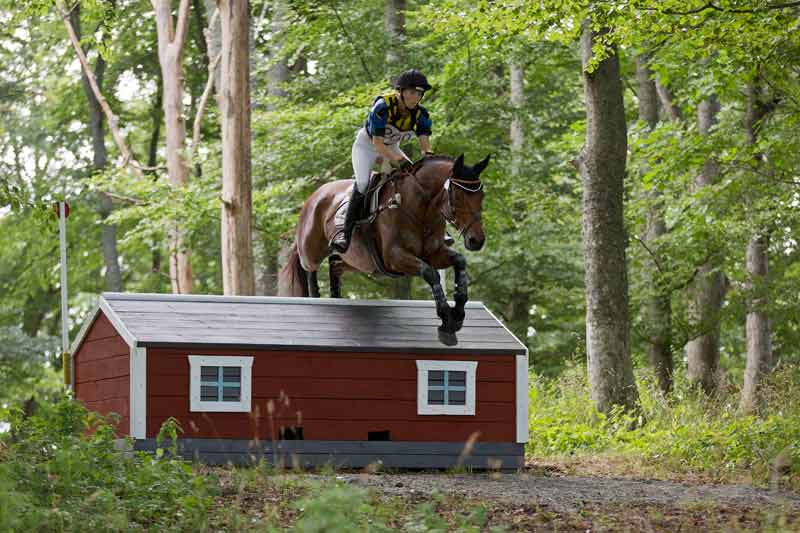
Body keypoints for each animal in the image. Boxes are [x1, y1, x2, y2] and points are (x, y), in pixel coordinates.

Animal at [278, 154, 490, 344]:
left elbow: (459, 261)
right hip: (310, 250)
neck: (422, 209)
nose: (477, 240)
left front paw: (459, 312)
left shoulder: (434, 253)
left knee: (334, 267)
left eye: (482, 195)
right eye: (458, 196)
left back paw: (336, 297)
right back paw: (316, 297)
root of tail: (315, 195)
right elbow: (430, 273)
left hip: (354, 261)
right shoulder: (395, 257)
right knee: (308, 268)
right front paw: (446, 319)